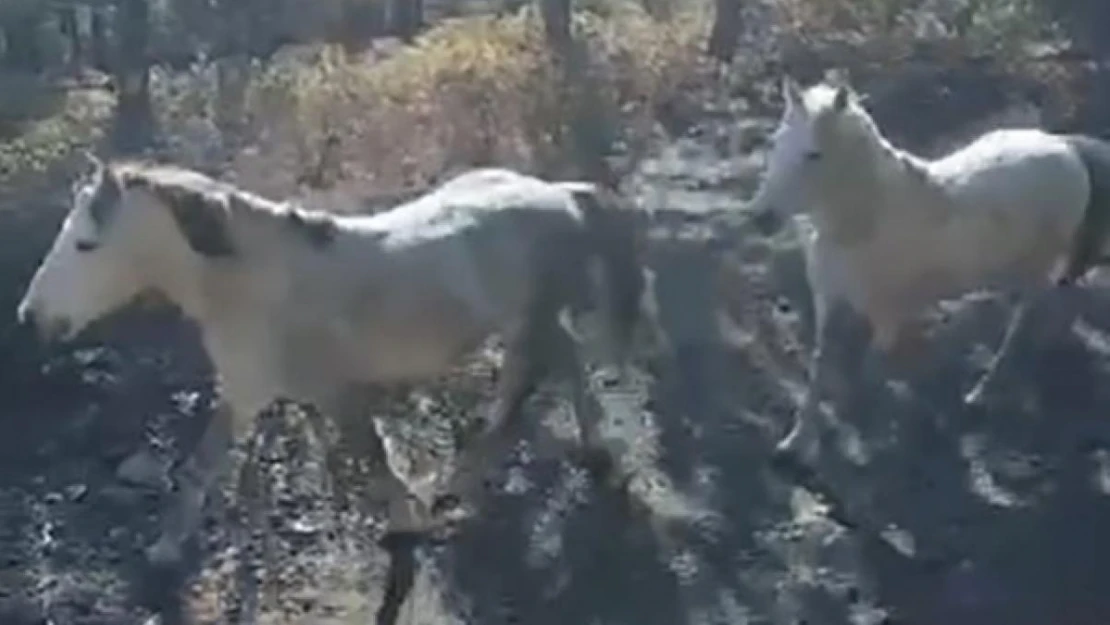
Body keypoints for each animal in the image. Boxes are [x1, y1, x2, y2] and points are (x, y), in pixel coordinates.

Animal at [15, 155, 643, 572]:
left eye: (87, 244)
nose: (30, 318)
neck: (252, 285)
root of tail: (559, 192)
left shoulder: (331, 392)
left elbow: (372, 456)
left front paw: (406, 524)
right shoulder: (244, 391)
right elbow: (199, 468)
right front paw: (165, 548)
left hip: (532, 322)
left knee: (525, 390)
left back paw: (461, 485)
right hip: (529, 324)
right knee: (561, 367)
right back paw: (590, 451)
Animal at [745, 73, 1110, 475]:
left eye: (814, 154)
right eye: (777, 144)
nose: (760, 217)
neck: (866, 224)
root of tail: (1068, 147)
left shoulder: (886, 319)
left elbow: (868, 376)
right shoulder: (830, 306)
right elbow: (818, 374)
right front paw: (793, 444)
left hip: (1034, 269)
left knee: (1025, 320)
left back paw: (982, 393)